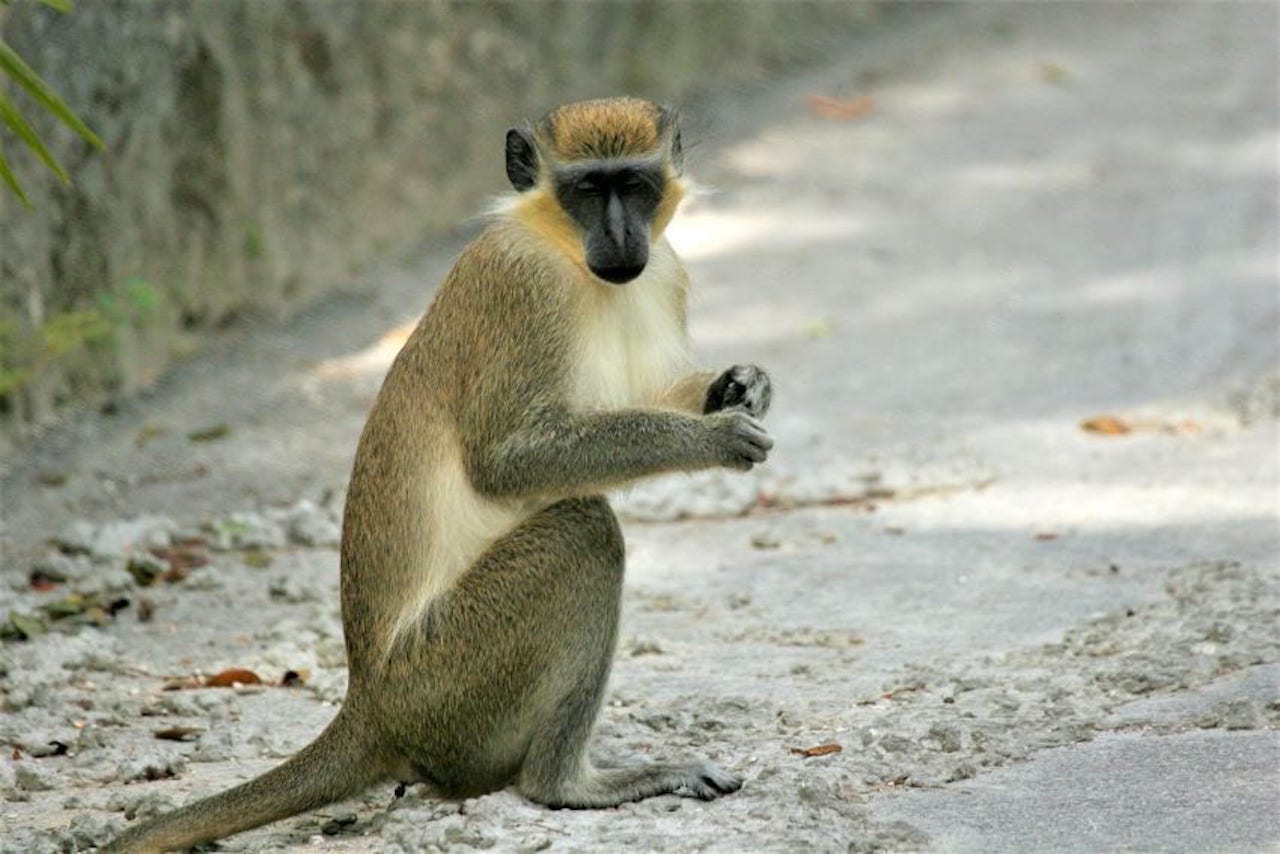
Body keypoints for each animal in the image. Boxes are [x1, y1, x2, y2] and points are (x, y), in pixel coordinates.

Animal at [104, 96, 773, 853]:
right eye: (585, 189)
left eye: (633, 185)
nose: (621, 234)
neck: (567, 254)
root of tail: (369, 703)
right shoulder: (523, 286)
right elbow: (506, 461)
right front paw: (712, 437)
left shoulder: (664, 271)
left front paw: (740, 386)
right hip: (446, 683)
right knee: (584, 530)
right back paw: (566, 783)